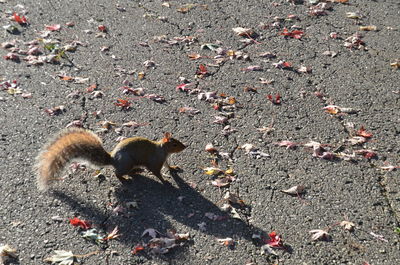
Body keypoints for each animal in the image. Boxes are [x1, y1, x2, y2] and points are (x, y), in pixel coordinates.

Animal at [34, 128, 186, 190]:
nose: (185, 146)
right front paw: (165, 181)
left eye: (178, 141)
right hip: (127, 162)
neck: (163, 150)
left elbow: (167, 166)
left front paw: (173, 168)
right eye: (174, 144)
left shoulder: (164, 159)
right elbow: (156, 172)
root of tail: (113, 160)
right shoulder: (155, 161)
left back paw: (137, 171)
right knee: (118, 173)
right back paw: (125, 179)